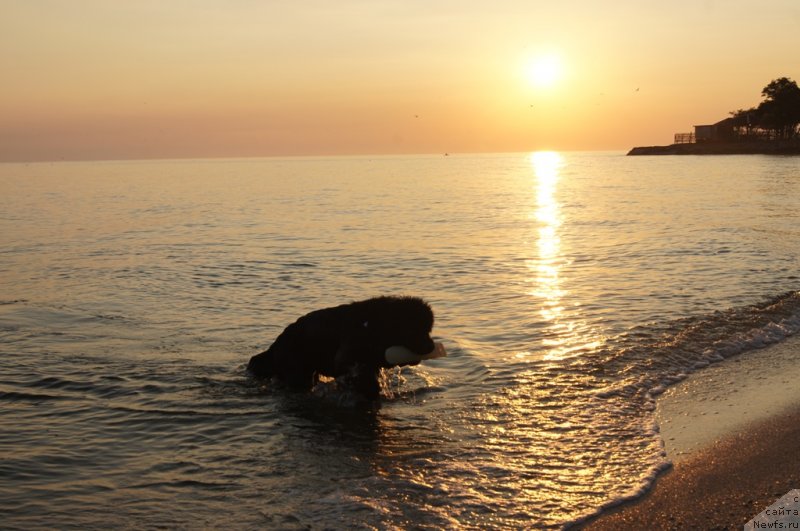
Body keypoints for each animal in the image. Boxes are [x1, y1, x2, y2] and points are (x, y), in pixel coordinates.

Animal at [247, 296, 444, 400]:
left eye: (428, 330)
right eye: (415, 329)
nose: (431, 345)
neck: (377, 322)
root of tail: (276, 344)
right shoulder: (348, 355)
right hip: (298, 372)